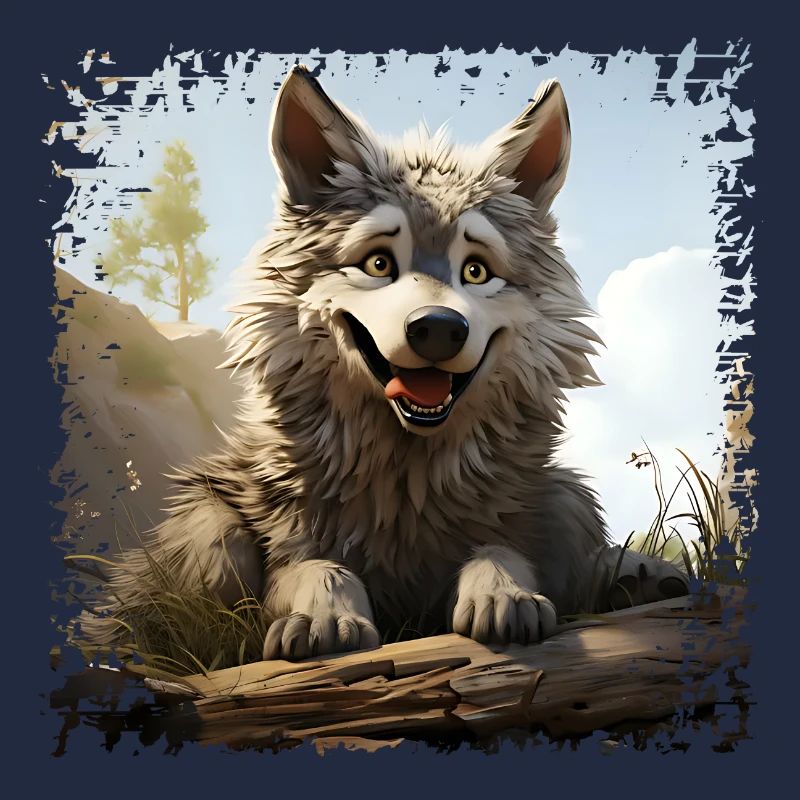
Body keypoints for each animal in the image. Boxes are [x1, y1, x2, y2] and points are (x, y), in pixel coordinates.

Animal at [80, 65, 688, 660]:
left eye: (475, 271)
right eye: (377, 263)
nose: (438, 328)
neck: (407, 483)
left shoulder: (534, 519)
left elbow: (502, 550)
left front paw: (505, 596)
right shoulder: (286, 540)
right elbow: (317, 570)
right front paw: (324, 619)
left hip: (568, 500)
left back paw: (640, 576)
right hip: (207, 531)